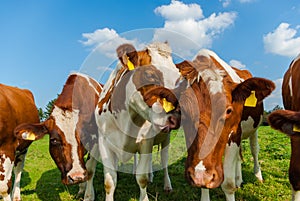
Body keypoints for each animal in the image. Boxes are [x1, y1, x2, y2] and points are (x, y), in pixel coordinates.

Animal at [14, 72, 102, 201]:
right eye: (54, 140)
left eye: (83, 137)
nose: (77, 177)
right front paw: (81, 189)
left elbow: (90, 169)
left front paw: (88, 196)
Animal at [96, 41, 180, 200]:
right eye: (149, 75)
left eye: (178, 79)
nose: (177, 117)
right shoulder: (103, 141)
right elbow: (109, 181)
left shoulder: (146, 141)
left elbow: (142, 178)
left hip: (165, 139)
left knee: (164, 161)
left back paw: (167, 185)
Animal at [175, 49, 276, 201]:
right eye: (182, 110)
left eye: (228, 110)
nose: (200, 175)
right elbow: (205, 184)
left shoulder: (234, 133)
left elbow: (228, 184)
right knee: (239, 156)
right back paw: (239, 179)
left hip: (254, 128)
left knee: (254, 150)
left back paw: (258, 176)